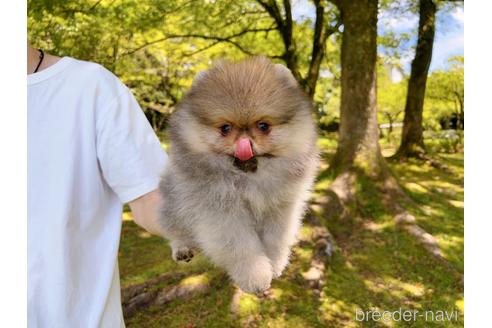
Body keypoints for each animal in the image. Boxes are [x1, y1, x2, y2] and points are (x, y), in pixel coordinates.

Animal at [159, 56, 320, 292]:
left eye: (263, 126)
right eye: (225, 128)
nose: (245, 144)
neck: (249, 177)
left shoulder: (282, 207)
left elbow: (276, 239)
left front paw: (275, 264)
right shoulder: (222, 212)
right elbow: (241, 246)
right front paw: (256, 277)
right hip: (172, 200)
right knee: (175, 229)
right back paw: (182, 248)